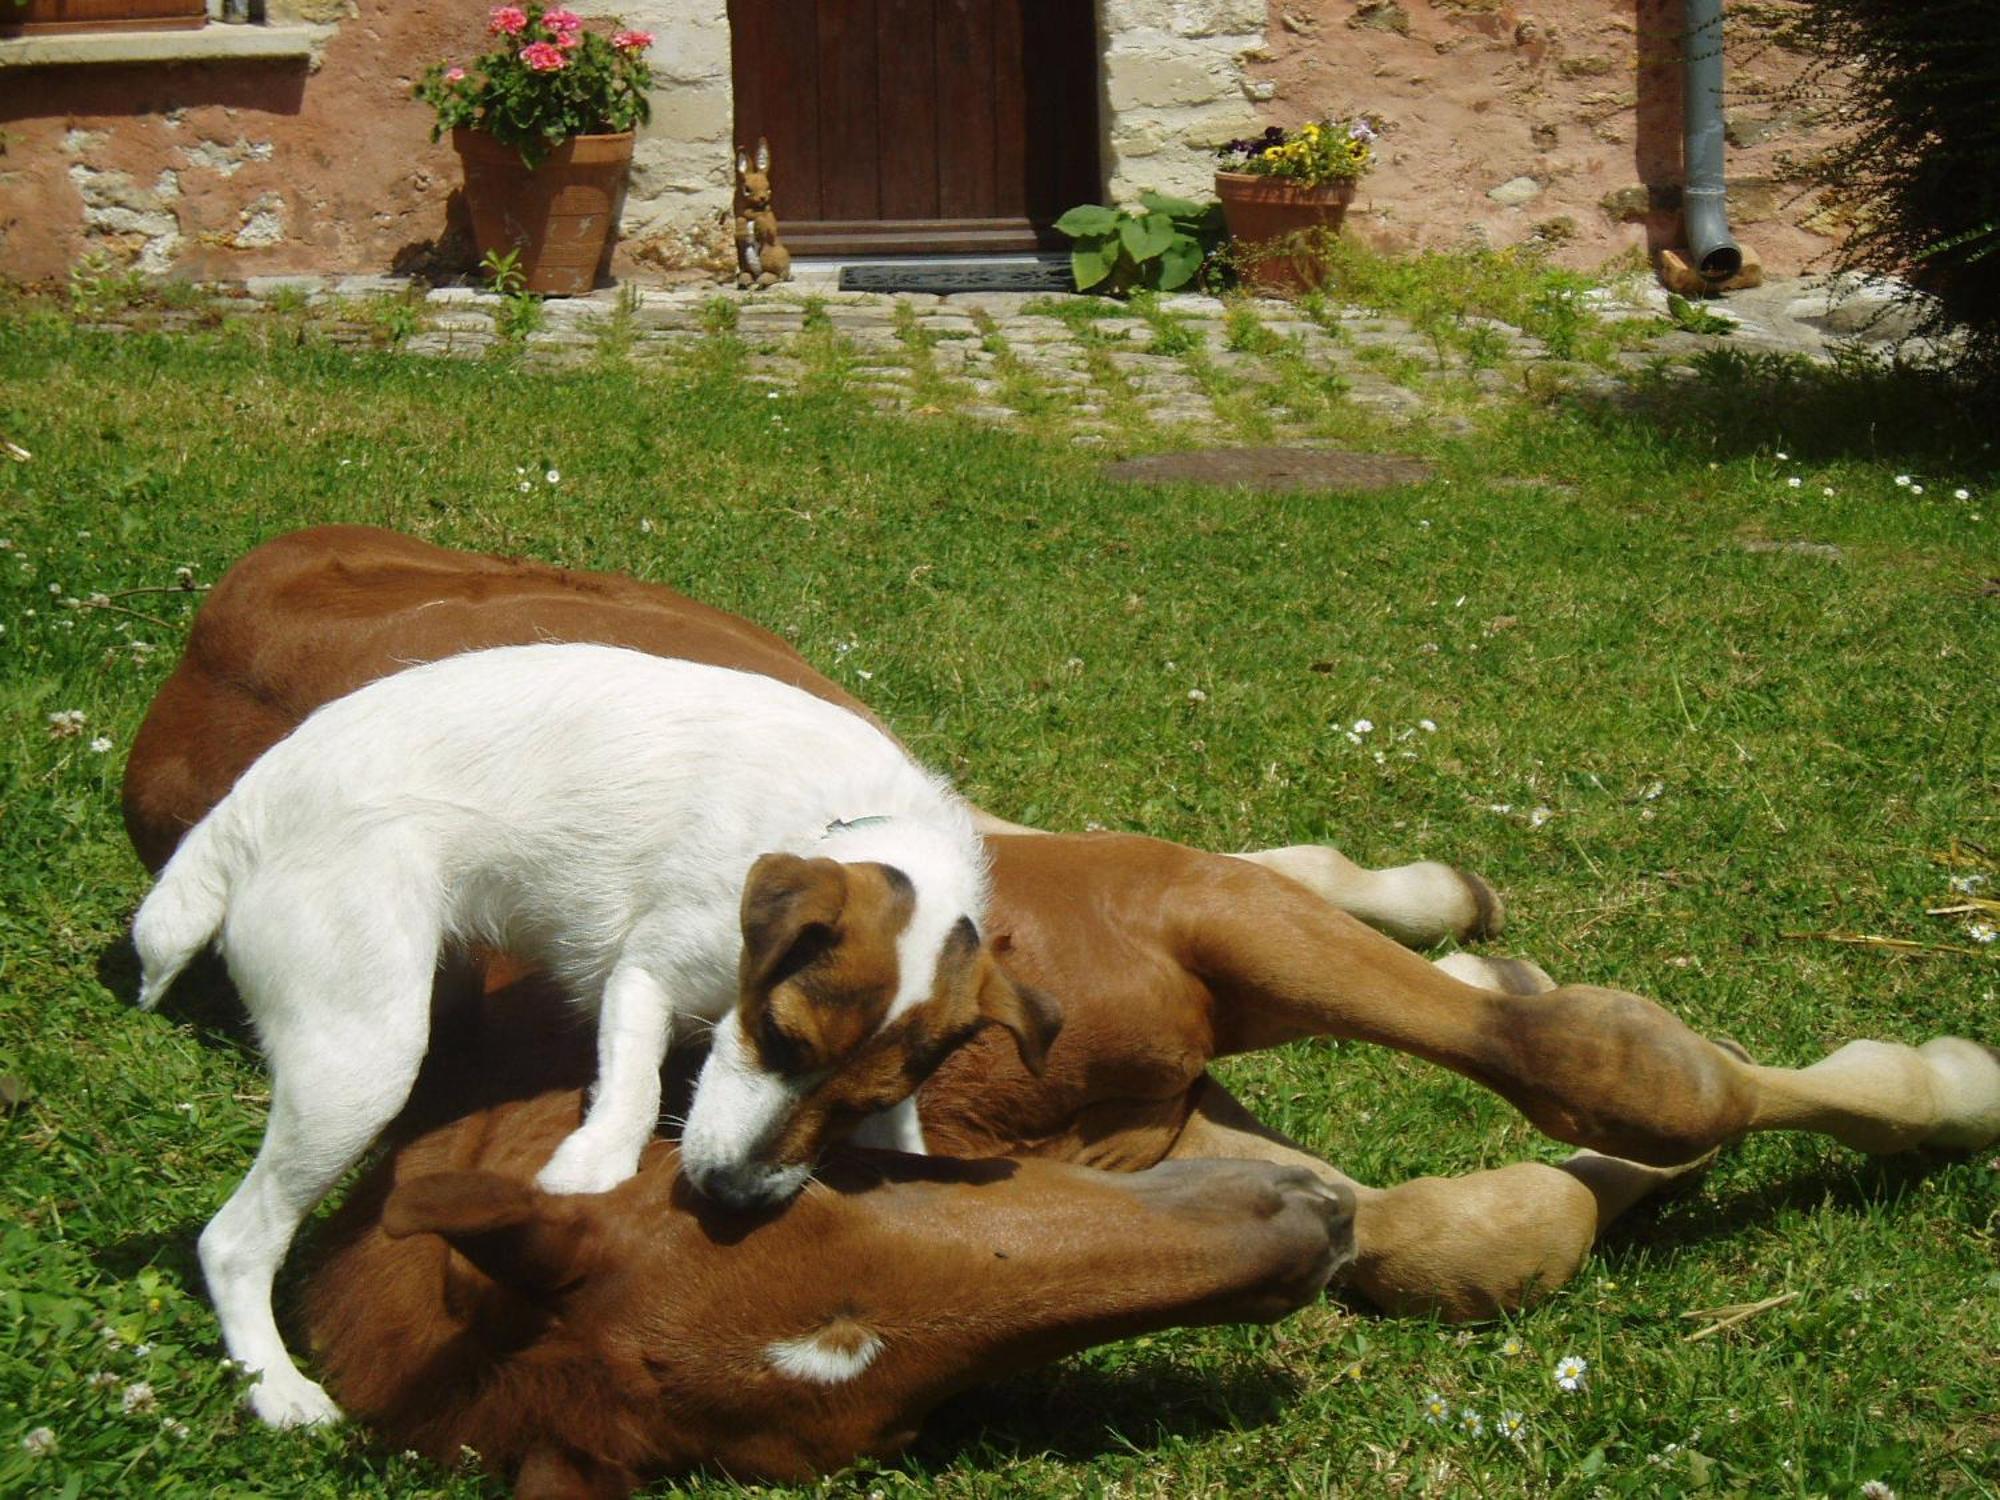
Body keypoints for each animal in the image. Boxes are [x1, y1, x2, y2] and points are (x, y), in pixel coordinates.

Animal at [131, 640, 1056, 1424]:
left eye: (864, 1098)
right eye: (779, 1037)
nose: (732, 1197)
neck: (845, 823)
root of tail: (244, 807)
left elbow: (903, 1138)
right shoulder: (646, 974)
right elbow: (635, 1088)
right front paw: (592, 1165)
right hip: (364, 1060)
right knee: (233, 1241)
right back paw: (277, 1388)